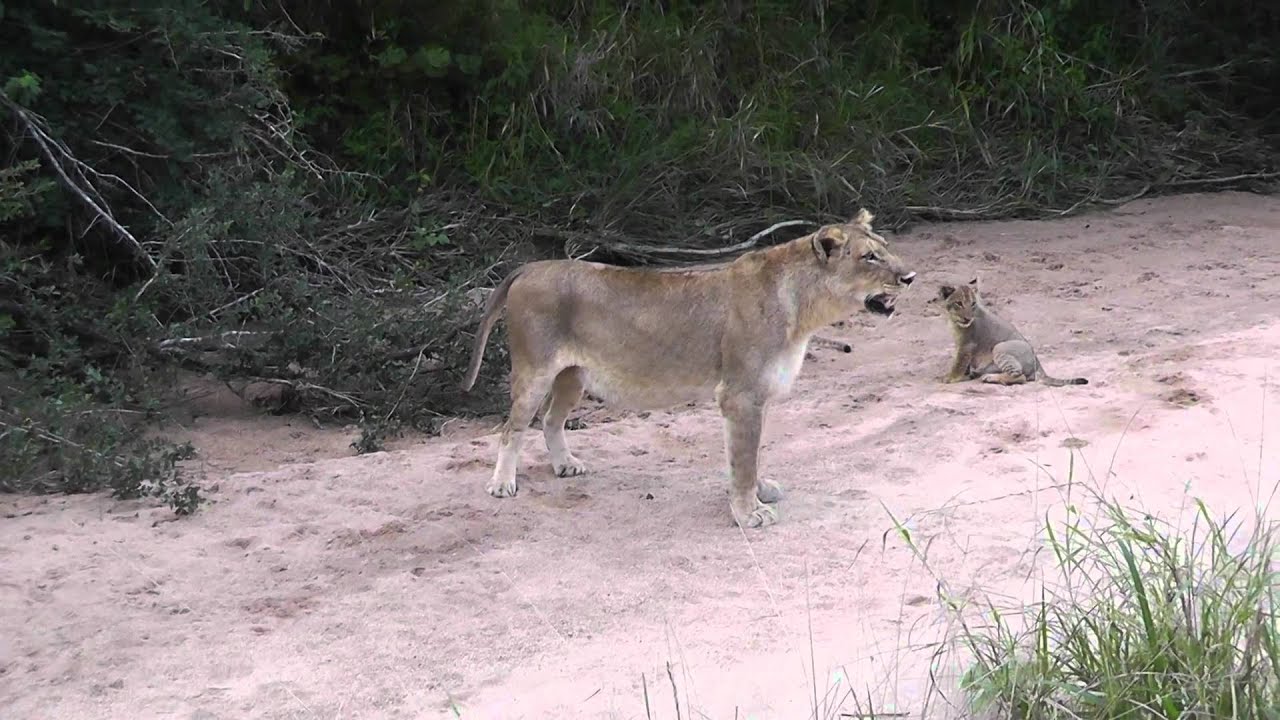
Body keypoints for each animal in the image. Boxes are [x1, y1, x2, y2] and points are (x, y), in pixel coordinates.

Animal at [460, 209, 916, 528]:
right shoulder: (739, 395)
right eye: (869, 257)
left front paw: (759, 493)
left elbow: (750, 455)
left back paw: (565, 465)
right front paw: (748, 514)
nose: (911, 276)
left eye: (886, 247)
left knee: (551, 420)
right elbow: (743, 459)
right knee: (512, 427)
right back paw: (501, 485)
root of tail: (531, 267)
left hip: (572, 375)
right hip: (534, 370)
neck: (804, 308)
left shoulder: (757, 396)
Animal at [938, 278, 1087, 387]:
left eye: (973, 303)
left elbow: (958, 364)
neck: (954, 321)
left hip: (1000, 347)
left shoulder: (967, 345)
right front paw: (966, 375)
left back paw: (990, 378)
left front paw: (949, 378)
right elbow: (965, 365)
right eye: (959, 303)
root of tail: (1037, 363)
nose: (968, 318)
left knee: (1020, 377)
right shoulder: (962, 346)